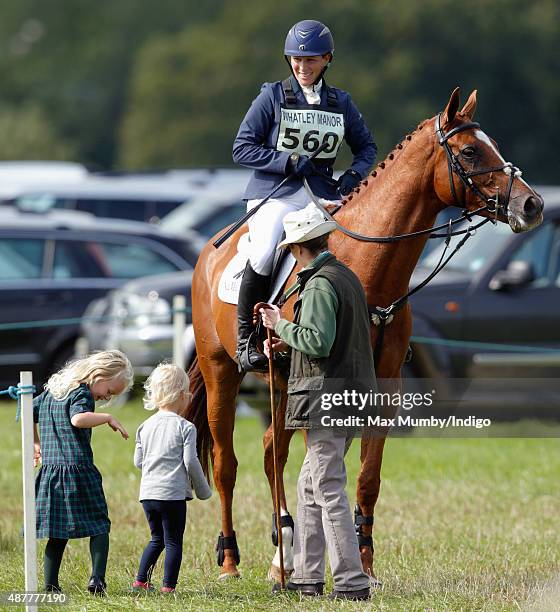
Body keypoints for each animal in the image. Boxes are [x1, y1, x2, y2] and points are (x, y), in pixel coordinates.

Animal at [185, 88, 544, 580]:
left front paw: (365, 565)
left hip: (279, 385)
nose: (532, 206)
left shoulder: (382, 385)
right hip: (221, 370)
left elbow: (366, 477)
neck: (367, 269)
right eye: (471, 151)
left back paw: (283, 550)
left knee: (271, 451)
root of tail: (209, 250)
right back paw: (230, 560)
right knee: (226, 463)